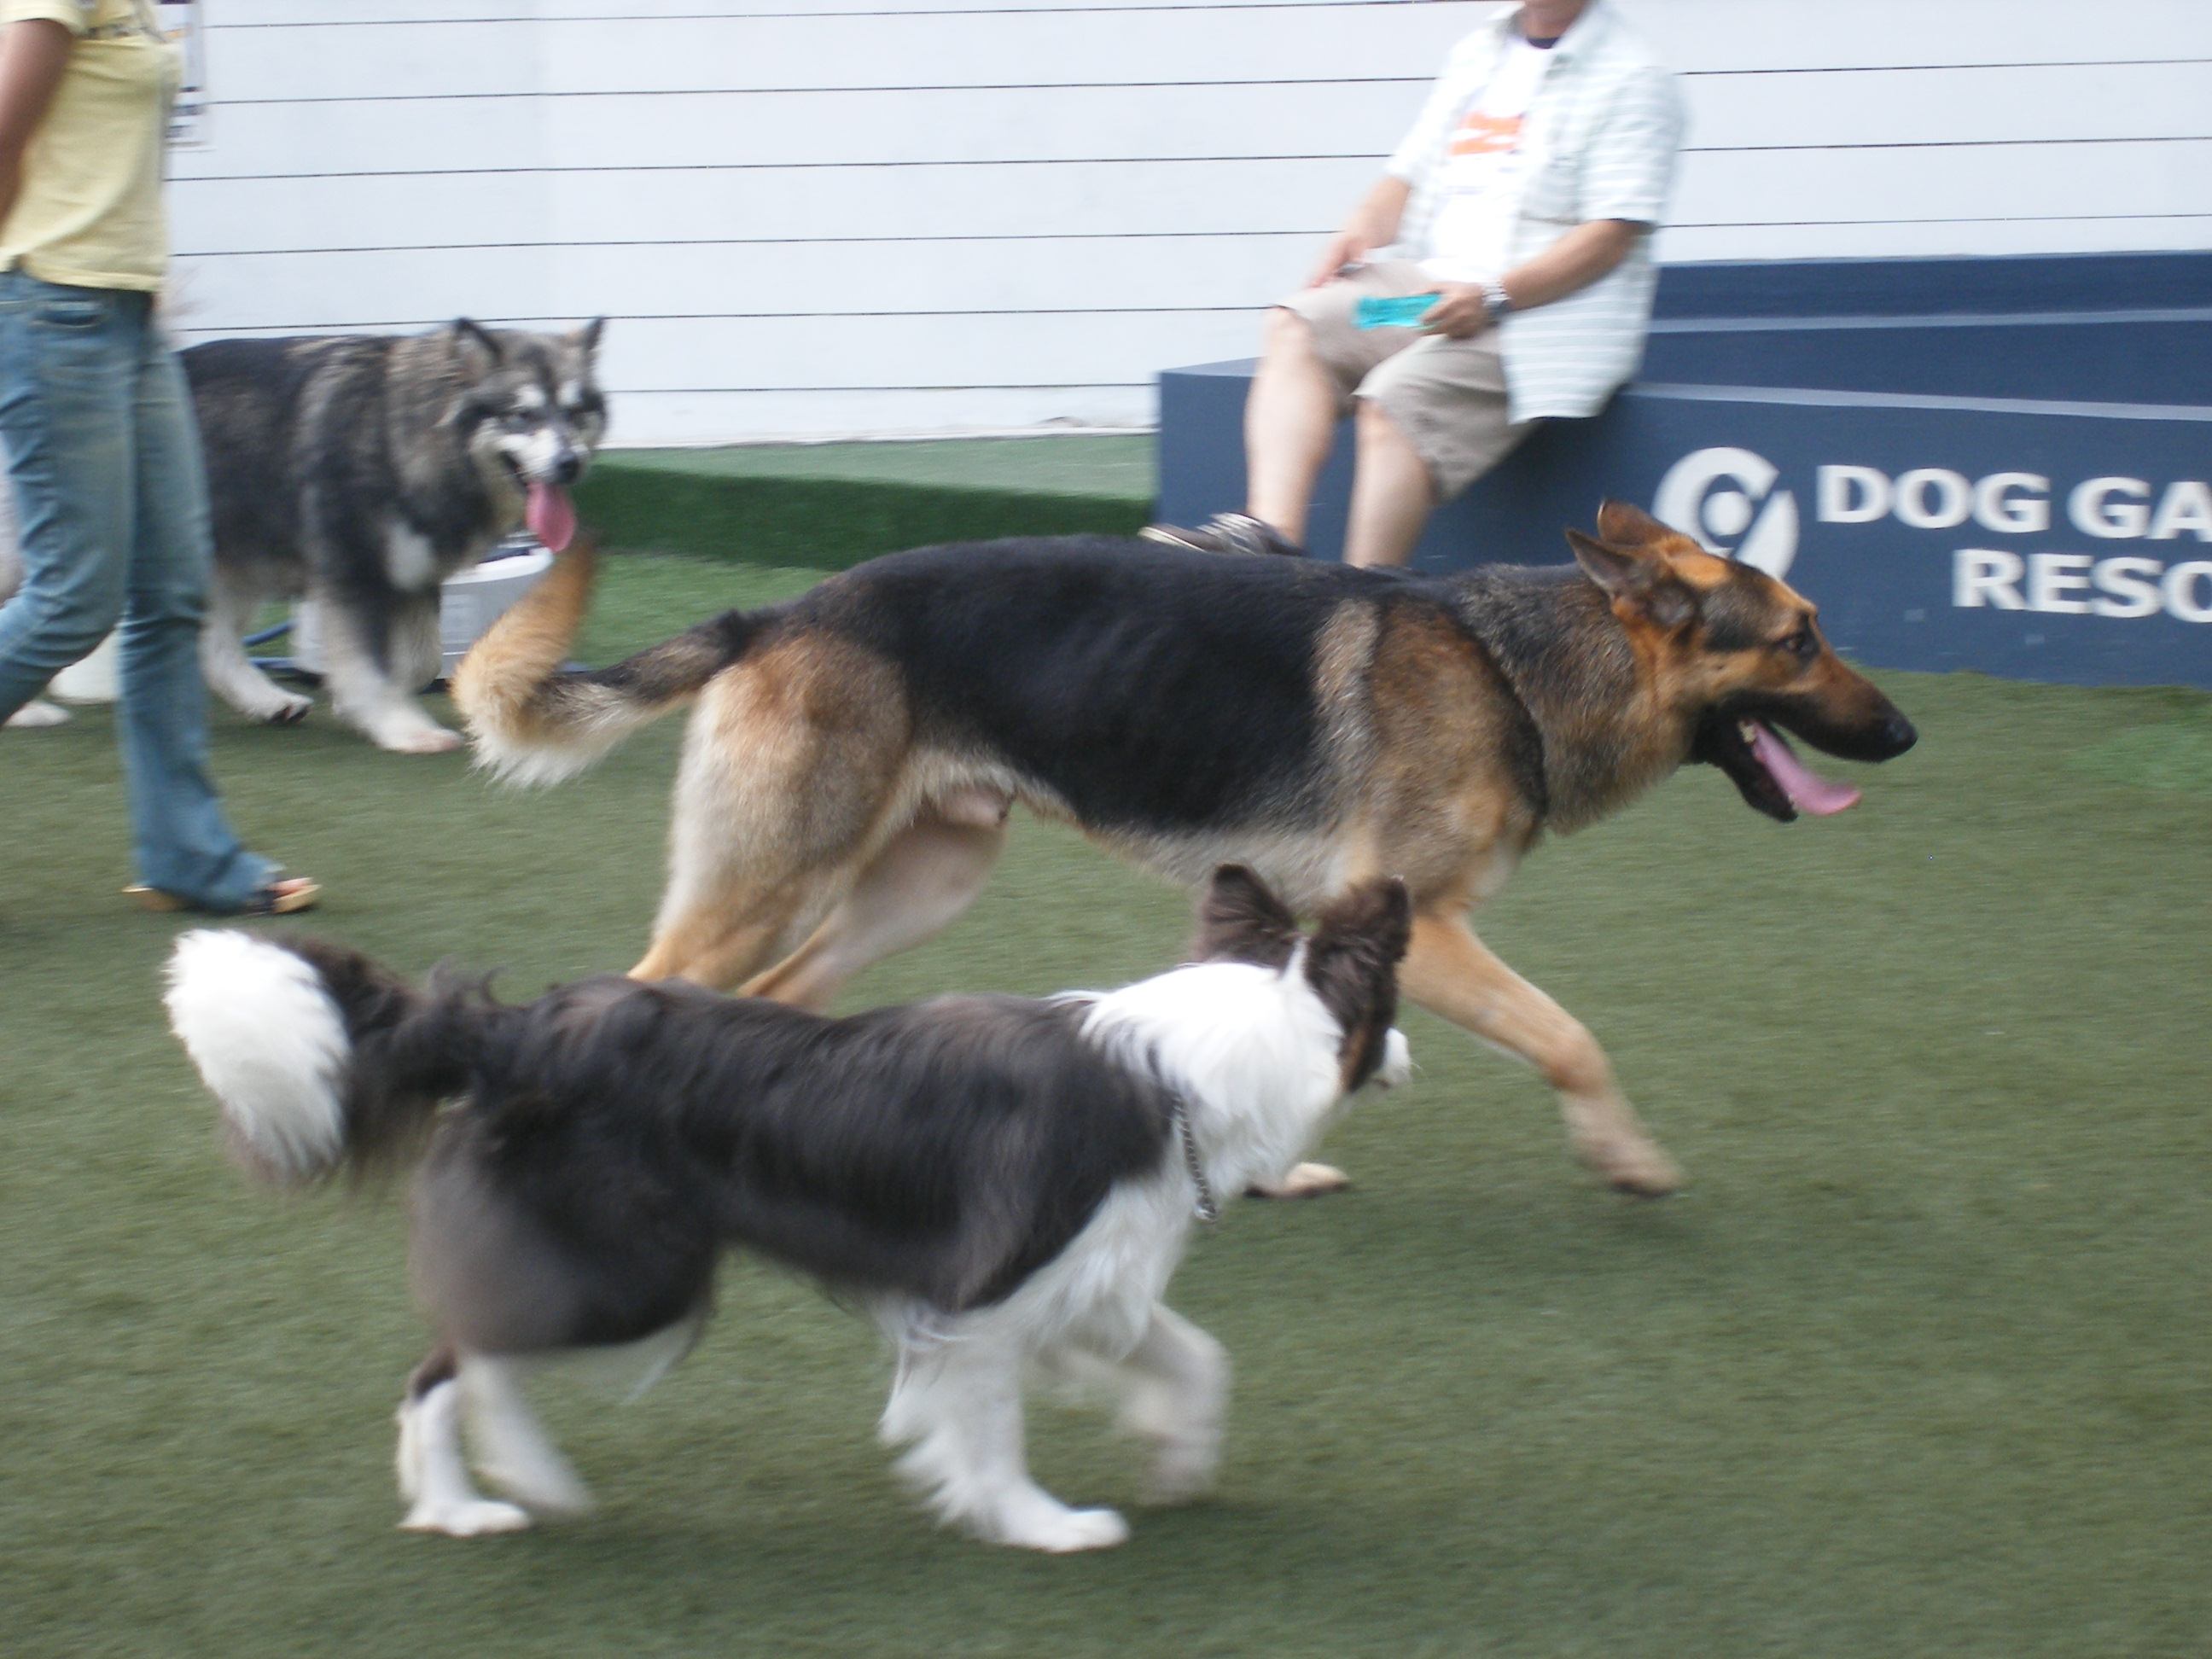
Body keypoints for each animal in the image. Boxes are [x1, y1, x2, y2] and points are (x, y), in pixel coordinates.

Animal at [163, 871, 1406, 1557]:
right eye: (1385, 1006)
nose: (1409, 1053)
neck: (1199, 1061)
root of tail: (513, 1028)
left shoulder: (1088, 1278)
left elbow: (1199, 1358)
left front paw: (1180, 1459)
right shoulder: (983, 1293)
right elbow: (990, 1428)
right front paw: (1042, 1523)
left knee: (456, 1357)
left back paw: (481, 1499)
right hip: (637, 1271)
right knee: (465, 1356)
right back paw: (498, 1494)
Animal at [184, 320, 606, 760]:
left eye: (575, 412)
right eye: (522, 414)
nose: (570, 463)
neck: (397, 432)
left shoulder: (415, 572)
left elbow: (422, 658)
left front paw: (362, 702)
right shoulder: (353, 573)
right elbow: (369, 664)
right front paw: (402, 726)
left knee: (212, 639)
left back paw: (268, 702)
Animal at [457, 499, 1911, 1203]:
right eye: (1800, 642)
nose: (1903, 732)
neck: (1517, 668)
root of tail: (777, 613)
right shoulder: (1434, 935)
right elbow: (1570, 1037)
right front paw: (1625, 1160)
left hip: (917, 886)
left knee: (778, 999)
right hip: (774, 880)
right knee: (651, 990)